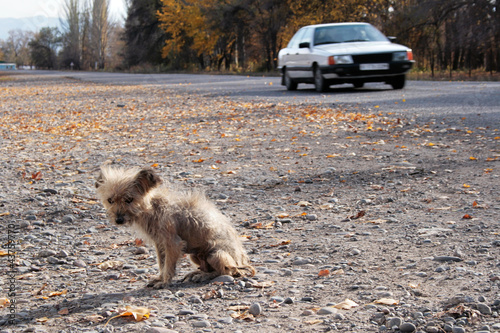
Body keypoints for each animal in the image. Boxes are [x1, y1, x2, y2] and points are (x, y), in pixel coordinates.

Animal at [95, 166, 256, 288]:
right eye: (110, 200)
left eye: (129, 199)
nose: (118, 220)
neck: (152, 207)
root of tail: (242, 262)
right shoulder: (160, 244)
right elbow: (162, 264)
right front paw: (160, 278)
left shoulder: (172, 243)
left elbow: (168, 266)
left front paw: (165, 283)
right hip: (195, 256)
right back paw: (198, 273)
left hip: (215, 254)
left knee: (228, 271)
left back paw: (204, 276)